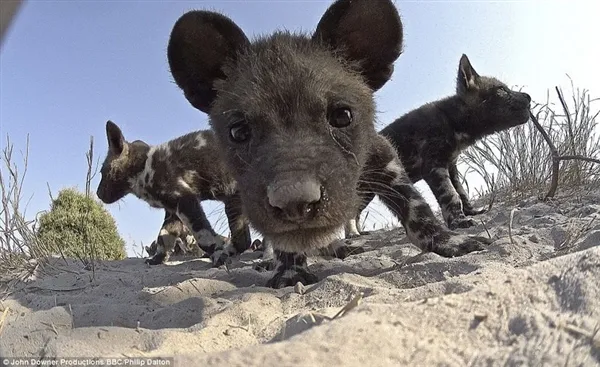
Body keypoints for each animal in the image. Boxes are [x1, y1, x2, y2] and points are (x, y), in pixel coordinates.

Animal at [96, 121, 251, 268]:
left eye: (102, 173)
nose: (97, 193)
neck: (143, 167)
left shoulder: (185, 200)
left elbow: (203, 236)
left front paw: (218, 254)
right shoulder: (173, 211)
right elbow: (163, 236)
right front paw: (157, 259)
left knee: (242, 240)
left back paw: (227, 252)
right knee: (244, 240)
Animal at [165, 0, 492, 288]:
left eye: (342, 115)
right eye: (238, 131)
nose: (295, 203)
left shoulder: (383, 158)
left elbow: (417, 205)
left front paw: (451, 241)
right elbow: (284, 241)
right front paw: (290, 271)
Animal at [354, 54, 532, 233]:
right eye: (501, 89)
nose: (528, 96)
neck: (452, 120)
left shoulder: (451, 166)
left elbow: (461, 192)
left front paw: (470, 212)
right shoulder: (434, 166)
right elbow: (451, 195)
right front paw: (458, 221)